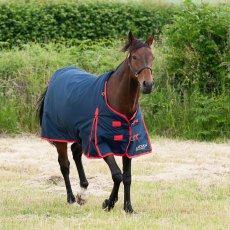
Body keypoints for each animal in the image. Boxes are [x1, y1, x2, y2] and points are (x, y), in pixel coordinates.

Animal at [37, 31, 155, 213]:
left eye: (152, 57)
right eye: (134, 57)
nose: (147, 84)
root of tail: (56, 78)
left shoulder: (129, 145)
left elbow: (127, 177)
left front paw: (128, 207)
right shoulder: (101, 144)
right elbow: (117, 175)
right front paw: (109, 203)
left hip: (81, 134)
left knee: (76, 152)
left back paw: (83, 193)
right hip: (60, 136)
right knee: (64, 164)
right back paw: (71, 198)